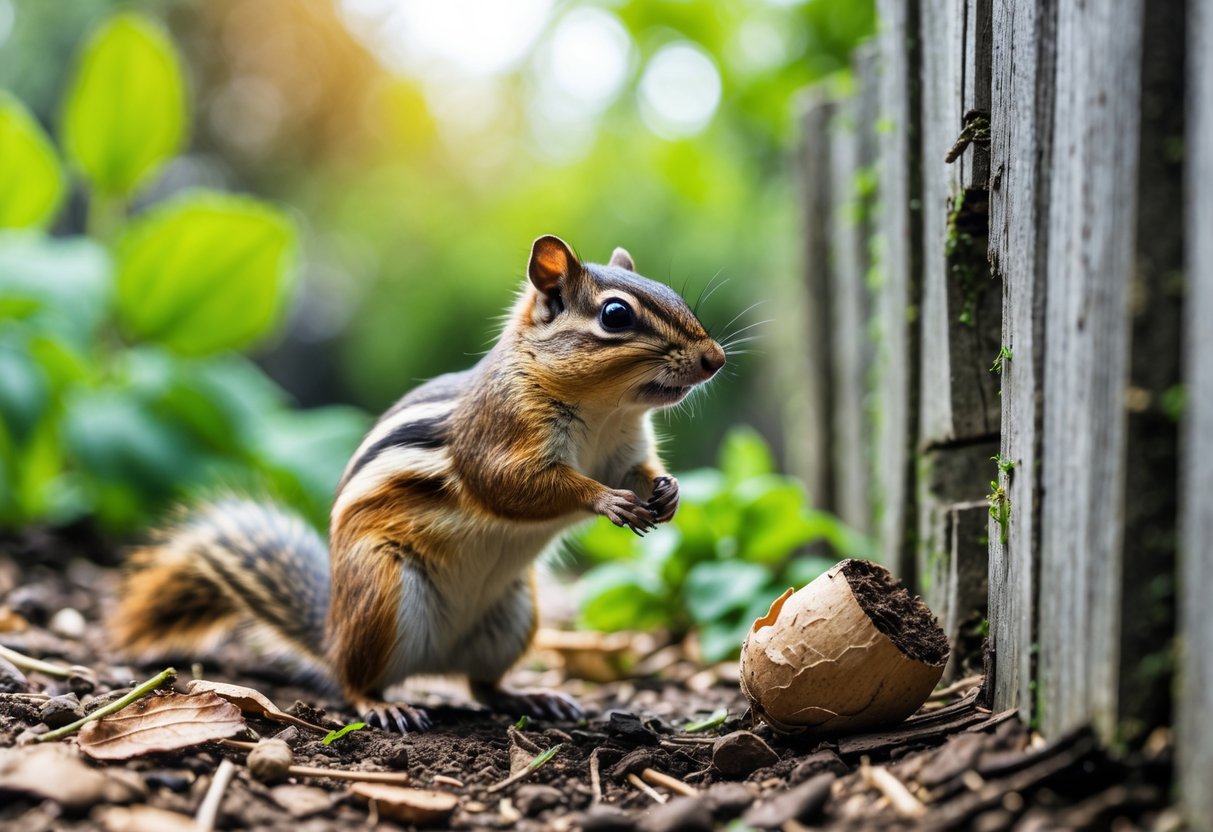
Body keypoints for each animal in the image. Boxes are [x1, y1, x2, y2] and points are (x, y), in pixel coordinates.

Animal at [110, 235, 726, 733]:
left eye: (669, 291)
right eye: (616, 315)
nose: (715, 359)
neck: (604, 410)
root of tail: (332, 631)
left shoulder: (626, 448)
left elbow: (638, 472)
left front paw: (668, 492)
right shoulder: (497, 436)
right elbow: (515, 484)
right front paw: (606, 501)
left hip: (513, 617)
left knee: (482, 685)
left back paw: (531, 698)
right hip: (383, 595)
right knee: (354, 681)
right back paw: (385, 706)